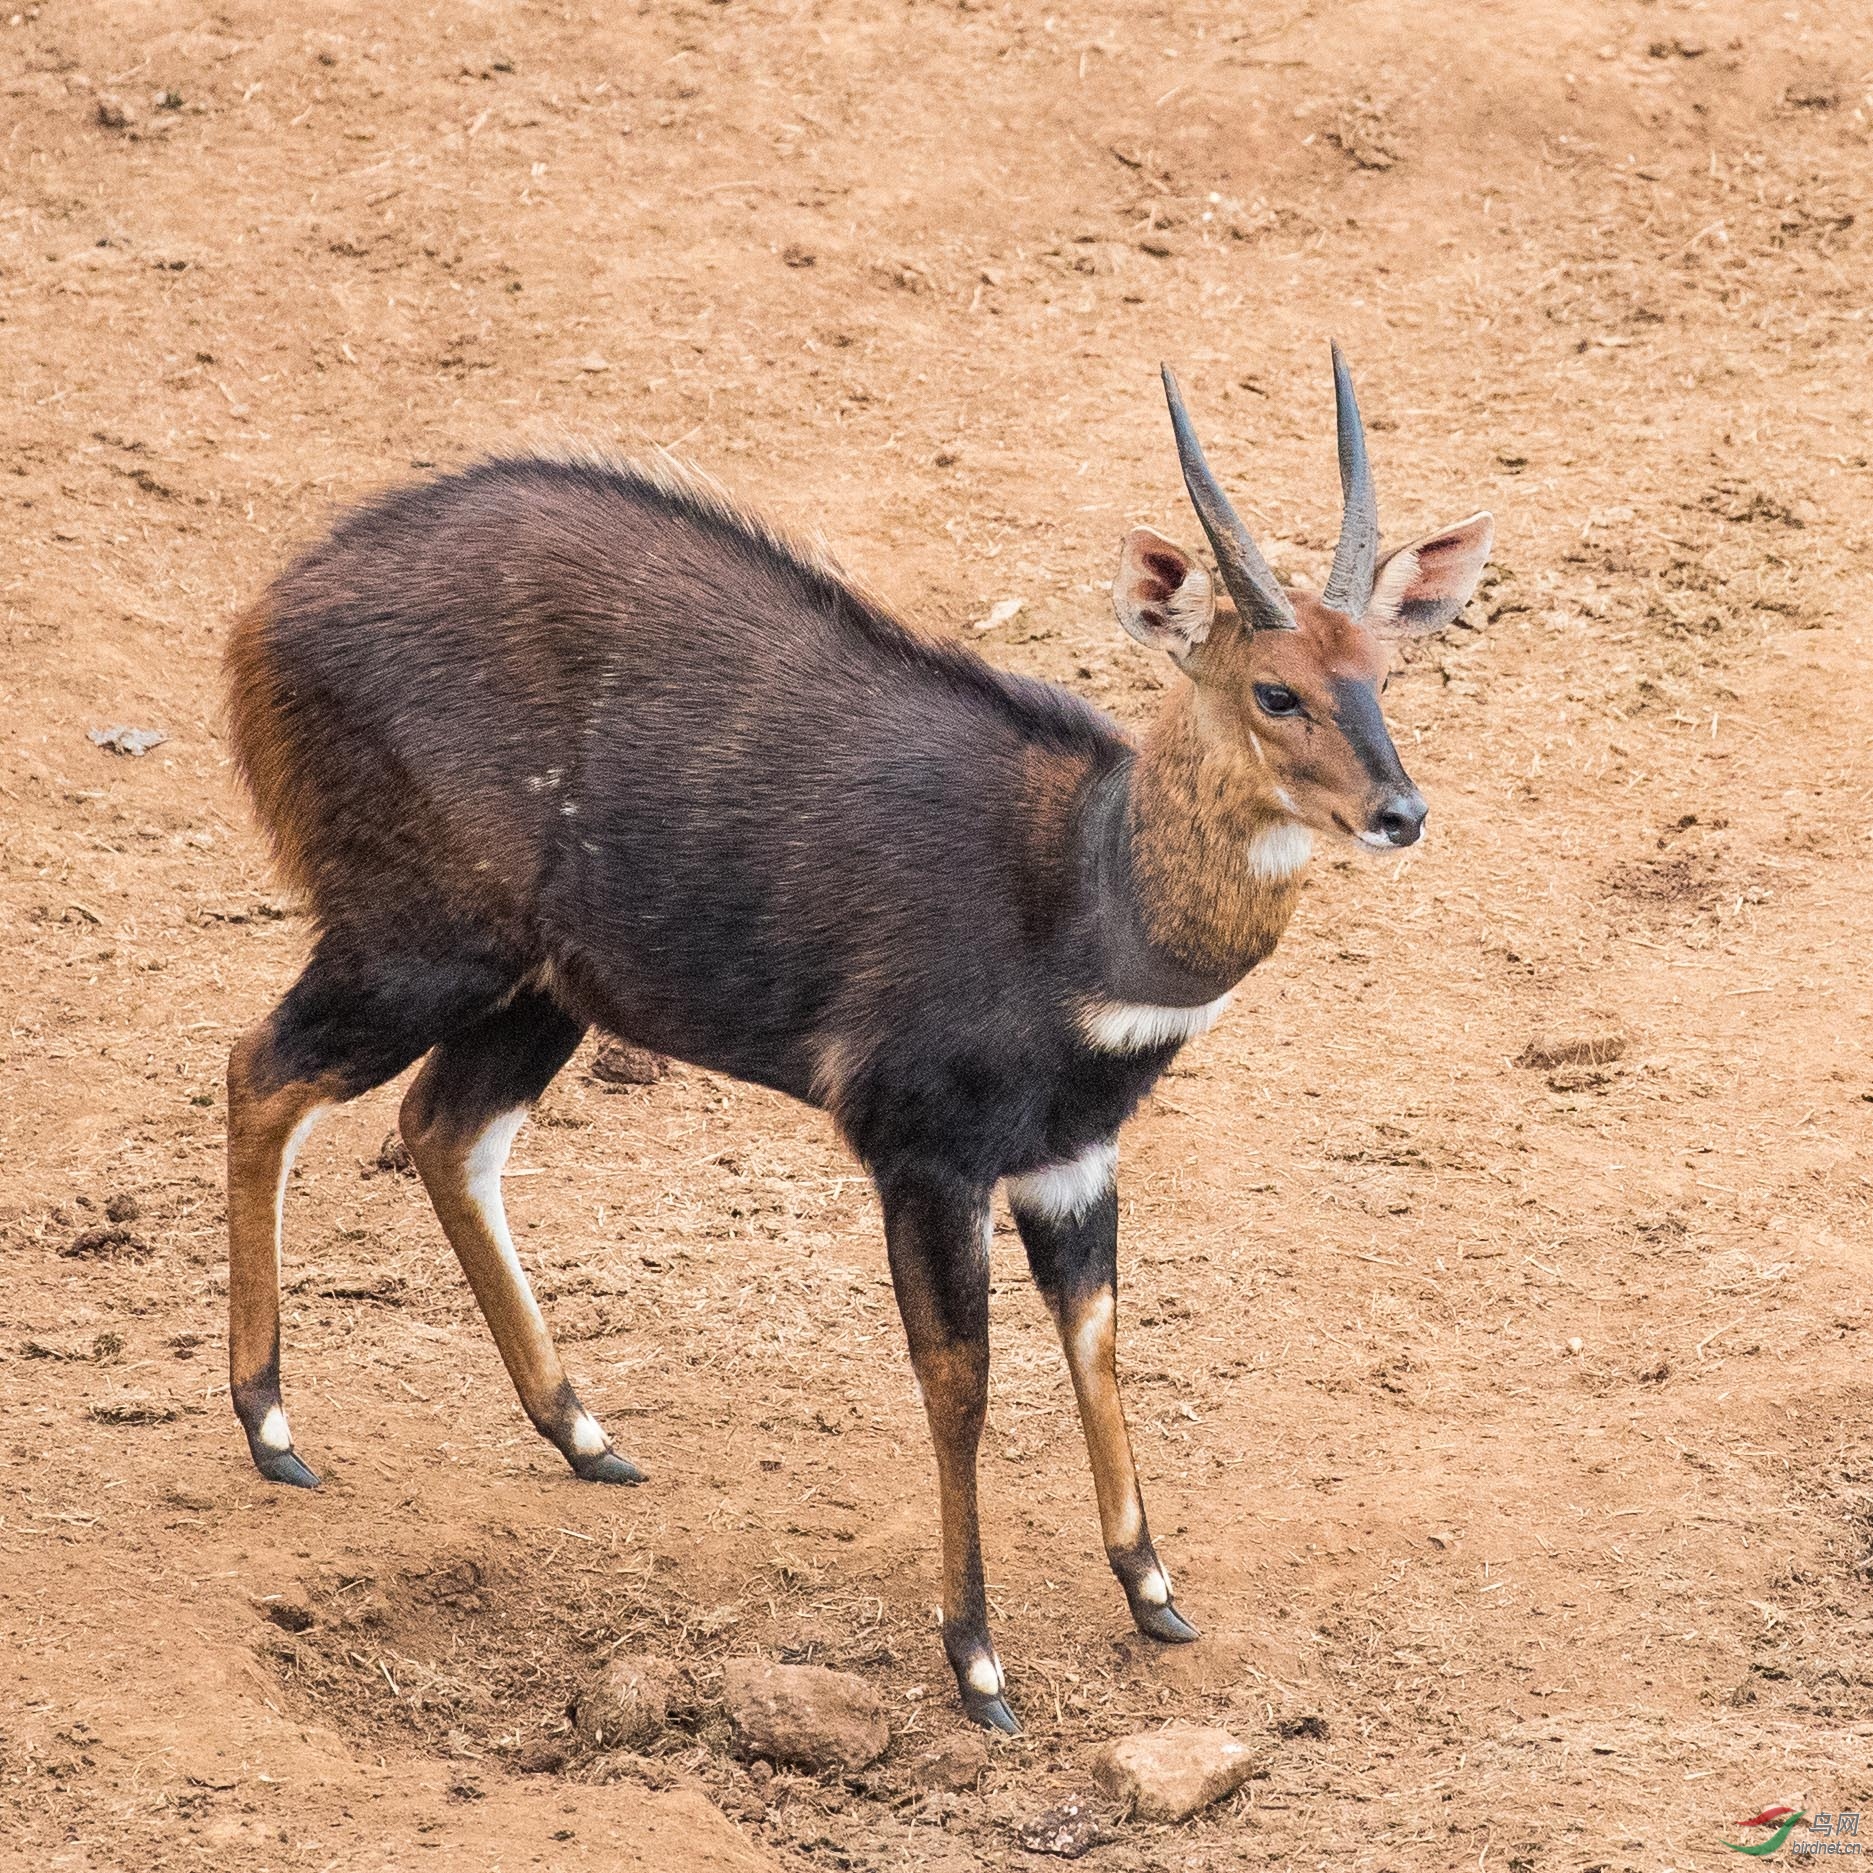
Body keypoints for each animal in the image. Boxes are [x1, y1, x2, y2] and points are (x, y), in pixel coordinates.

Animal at [222, 352, 1490, 1723]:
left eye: (1381, 672)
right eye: (1275, 689)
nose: (1400, 812)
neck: (1084, 893)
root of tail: (267, 615)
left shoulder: (1070, 1158)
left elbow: (1097, 1345)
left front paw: (1155, 1596)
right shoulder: (921, 1151)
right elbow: (960, 1380)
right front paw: (978, 1662)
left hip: (542, 990)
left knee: (443, 1128)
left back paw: (584, 1435)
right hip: (416, 943)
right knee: (263, 1072)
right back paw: (273, 1429)